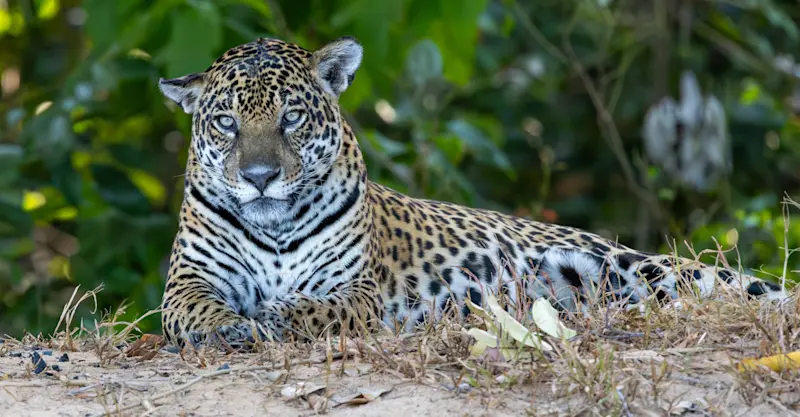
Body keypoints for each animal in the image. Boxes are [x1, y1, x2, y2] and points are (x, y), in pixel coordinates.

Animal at [156, 36, 788, 349]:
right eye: (226, 123)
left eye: (290, 117)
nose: (259, 176)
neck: (276, 226)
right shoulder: (189, 279)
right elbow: (195, 309)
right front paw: (227, 326)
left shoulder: (356, 289)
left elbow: (321, 308)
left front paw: (276, 316)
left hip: (638, 265)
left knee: (736, 288)